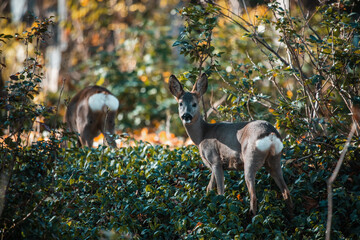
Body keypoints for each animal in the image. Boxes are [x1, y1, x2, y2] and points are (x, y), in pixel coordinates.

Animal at [169, 73, 292, 216]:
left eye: (194, 104)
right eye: (180, 103)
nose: (186, 116)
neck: (202, 136)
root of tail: (271, 134)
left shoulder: (214, 159)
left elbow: (220, 191)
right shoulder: (213, 164)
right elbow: (209, 188)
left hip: (250, 157)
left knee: (254, 195)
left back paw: (251, 216)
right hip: (275, 159)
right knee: (286, 191)